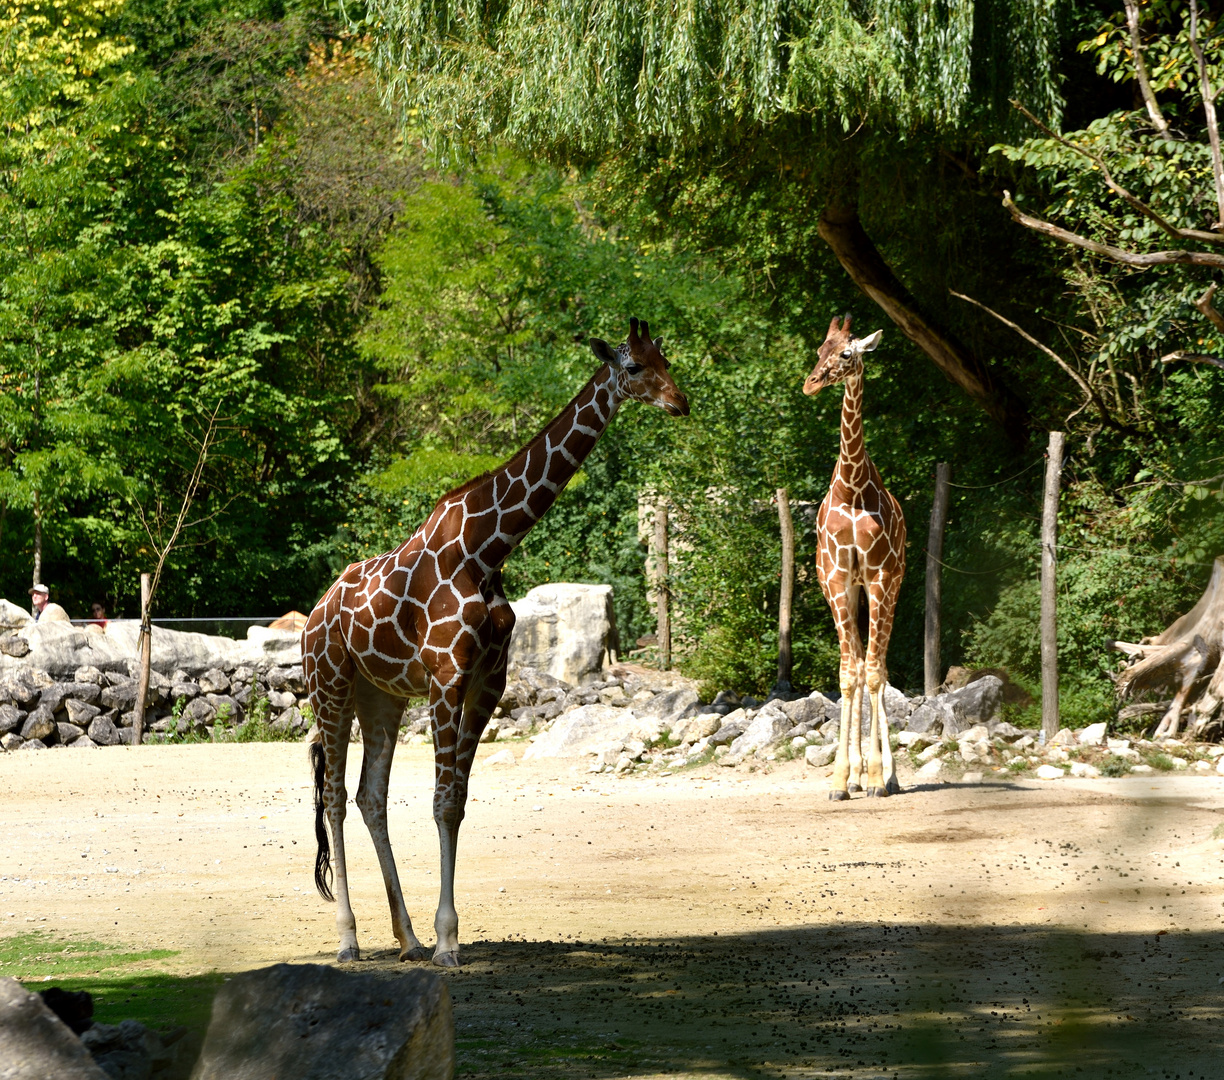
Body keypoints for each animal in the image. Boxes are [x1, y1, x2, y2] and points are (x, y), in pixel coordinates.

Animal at [299, 315, 690, 964]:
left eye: (665, 359)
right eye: (634, 366)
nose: (680, 401)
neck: (488, 548)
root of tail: (310, 617)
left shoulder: (487, 680)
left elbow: (455, 802)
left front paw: (443, 936)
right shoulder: (446, 677)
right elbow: (439, 800)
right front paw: (447, 943)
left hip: (380, 696)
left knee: (368, 797)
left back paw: (405, 938)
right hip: (329, 685)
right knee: (331, 797)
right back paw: (349, 941)